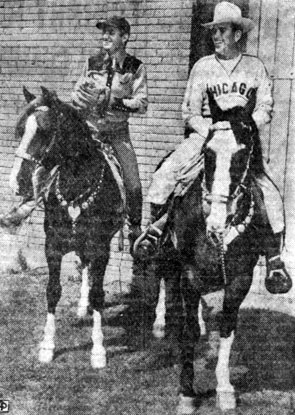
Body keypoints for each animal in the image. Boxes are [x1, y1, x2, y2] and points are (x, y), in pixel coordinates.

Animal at [11, 86, 125, 368]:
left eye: (43, 130)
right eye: (21, 130)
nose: (16, 182)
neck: (76, 185)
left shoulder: (100, 248)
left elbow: (99, 294)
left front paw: (98, 351)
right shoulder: (53, 246)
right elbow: (53, 291)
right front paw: (47, 346)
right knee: (83, 267)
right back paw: (83, 307)